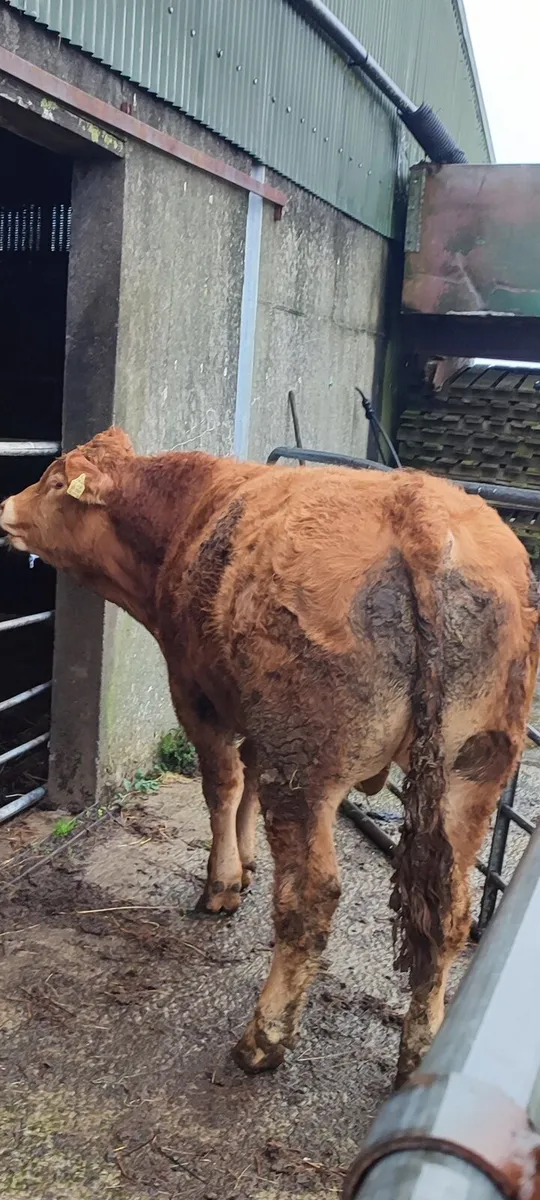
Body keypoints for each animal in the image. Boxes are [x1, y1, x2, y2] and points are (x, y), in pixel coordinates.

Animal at [1, 427, 538, 1084]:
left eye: (55, 481)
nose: (6, 506)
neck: (188, 517)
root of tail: (420, 508)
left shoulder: (197, 696)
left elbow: (224, 785)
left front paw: (224, 883)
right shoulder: (256, 717)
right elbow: (249, 782)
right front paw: (250, 860)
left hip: (305, 764)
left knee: (311, 898)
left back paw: (263, 1038)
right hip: (473, 770)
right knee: (449, 913)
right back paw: (419, 1055)